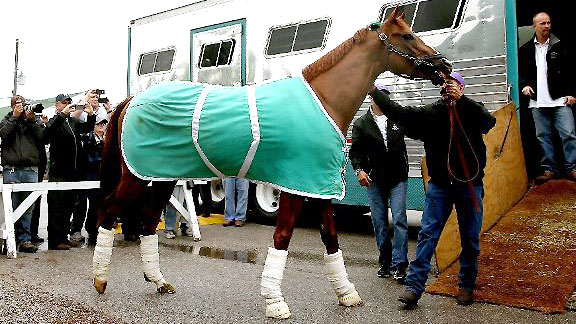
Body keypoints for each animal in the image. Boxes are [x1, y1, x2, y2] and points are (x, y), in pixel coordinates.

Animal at [91, 8, 450, 320]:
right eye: (406, 35)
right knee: (109, 210)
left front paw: (346, 293)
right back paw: (100, 280)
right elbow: (283, 237)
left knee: (149, 221)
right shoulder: (296, 184)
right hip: (136, 176)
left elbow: (330, 238)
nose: (442, 65)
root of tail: (132, 100)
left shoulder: (319, 186)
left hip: (163, 177)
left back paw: (158, 280)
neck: (323, 100)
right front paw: (275, 301)